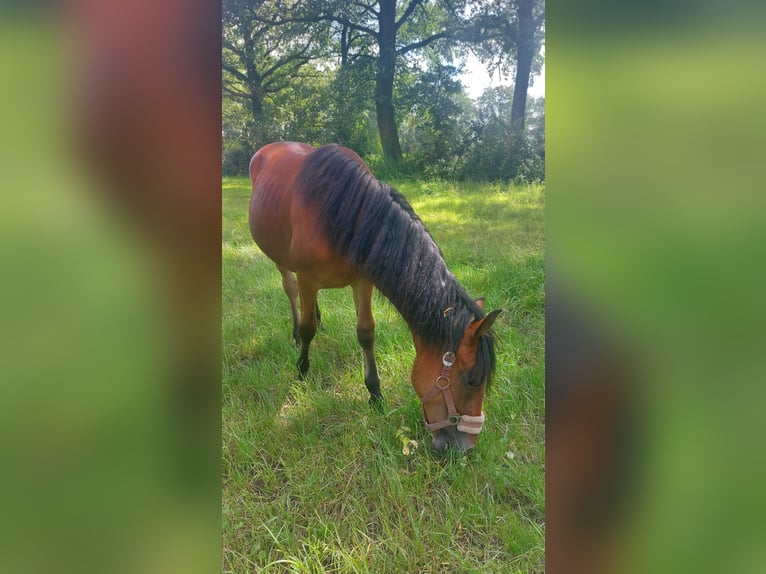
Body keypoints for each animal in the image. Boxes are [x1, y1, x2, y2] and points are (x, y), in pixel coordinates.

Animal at [252, 141, 504, 454]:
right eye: (472, 381)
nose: (465, 448)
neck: (341, 211)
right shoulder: (308, 279)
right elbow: (308, 328)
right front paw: (301, 370)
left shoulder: (363, 281)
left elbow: (366, 333)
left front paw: (374, 393)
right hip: (283, 262)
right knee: (291, 292)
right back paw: (296, 335)